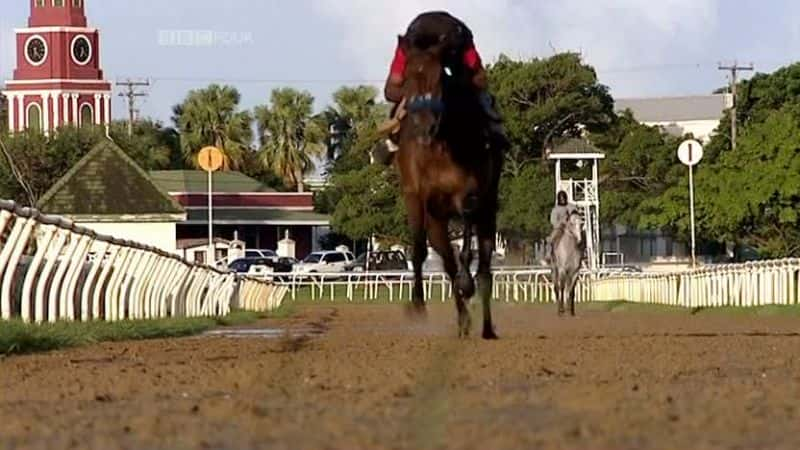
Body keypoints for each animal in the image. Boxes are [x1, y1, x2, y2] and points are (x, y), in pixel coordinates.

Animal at [392, 35, 500, 338]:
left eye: (439, 76)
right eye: (406, 77)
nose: (424, 125)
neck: (438, 148)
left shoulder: (468, 194)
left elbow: (466, 245)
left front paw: (467, 283)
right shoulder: (415, 196)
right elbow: (419, 248)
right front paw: (417, 303)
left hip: (488, 210)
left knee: (484, 268)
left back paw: (487, 326)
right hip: (438, 223)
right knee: (448, 261)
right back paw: (463, 320)